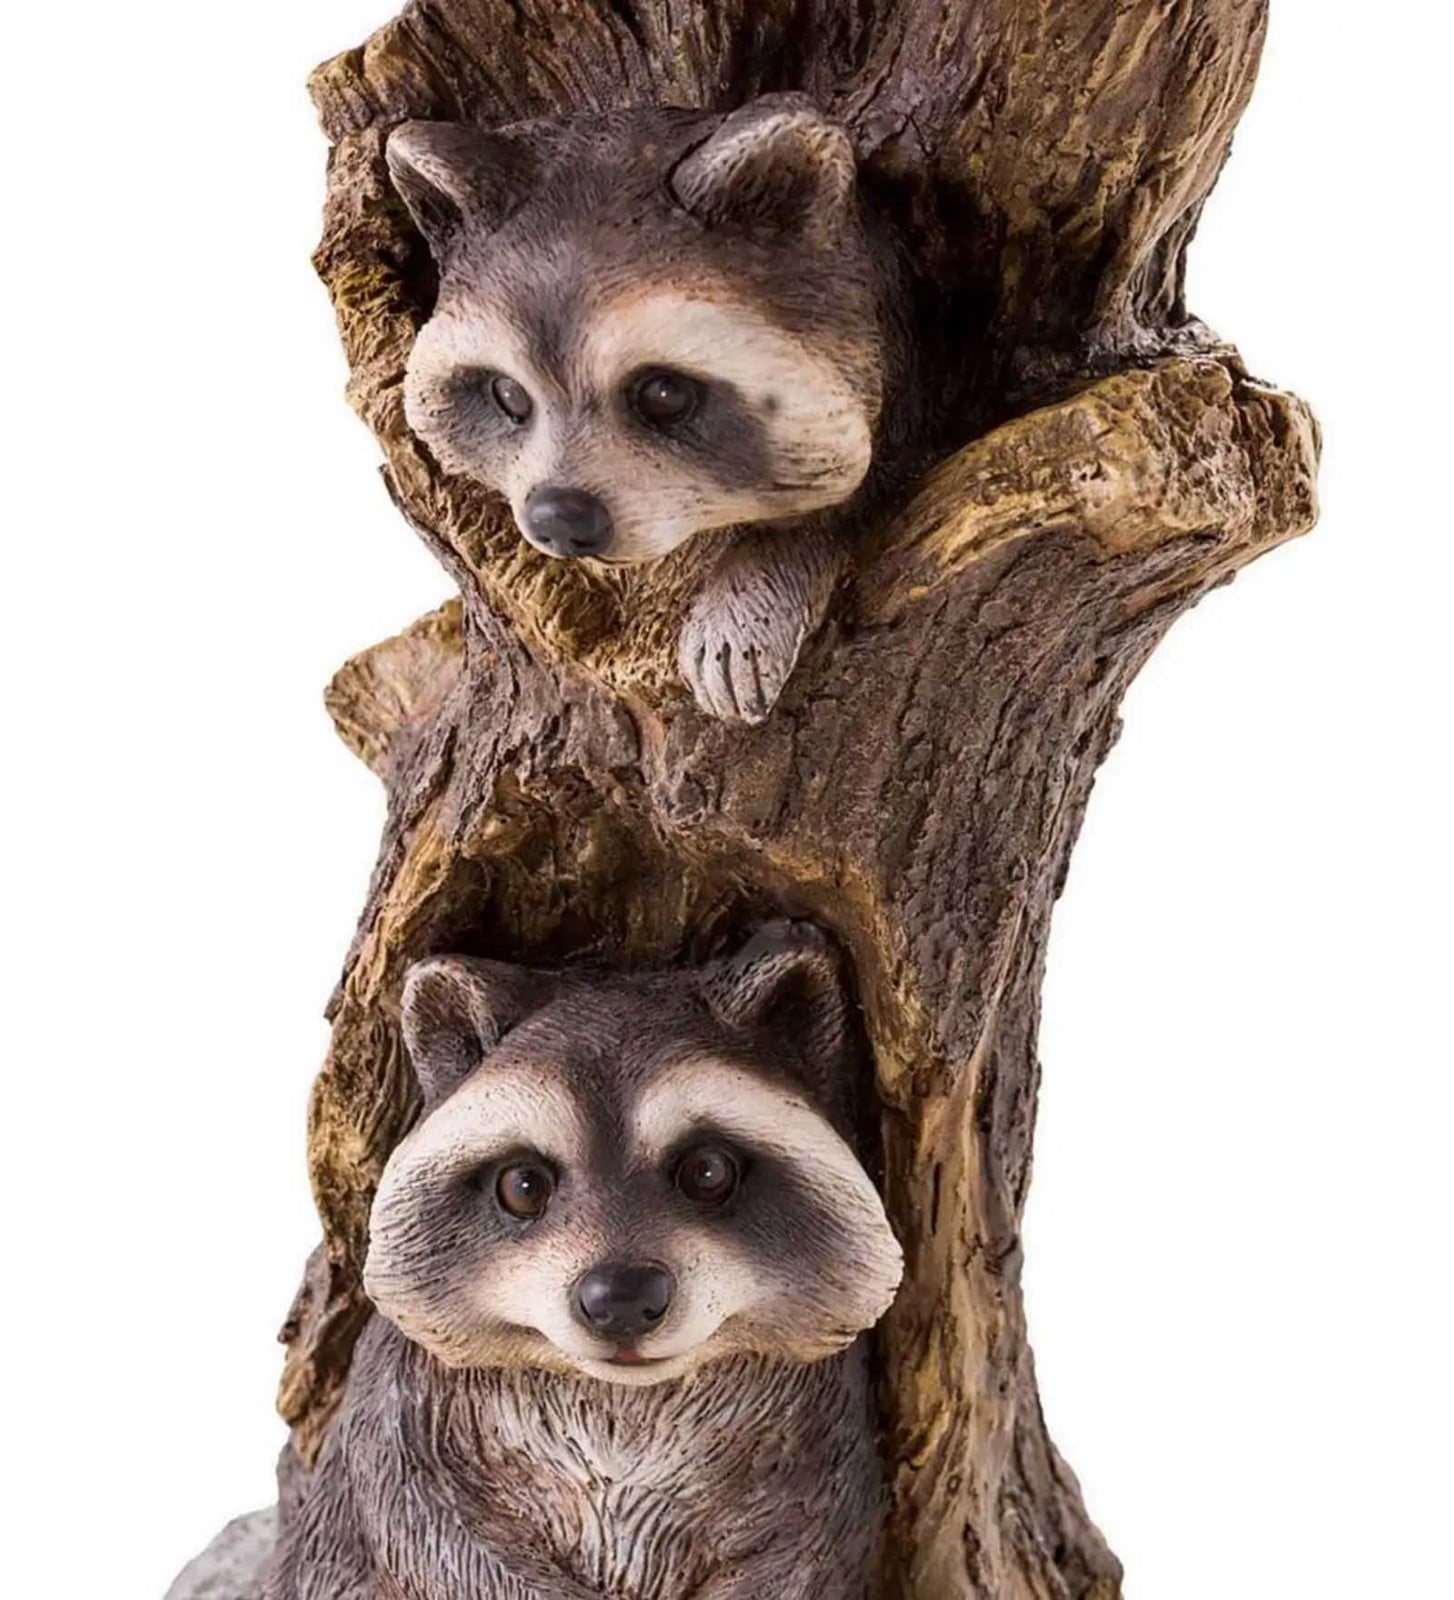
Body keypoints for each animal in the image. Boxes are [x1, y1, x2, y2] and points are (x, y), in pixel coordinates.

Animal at [266, 923, 902, 1600]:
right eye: (523, 1185)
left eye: (707, 1172)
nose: (621, 1299)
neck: (622, 1396)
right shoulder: (398, 1402)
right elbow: (433, 1535)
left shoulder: (825, 1417)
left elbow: (807, 1543)